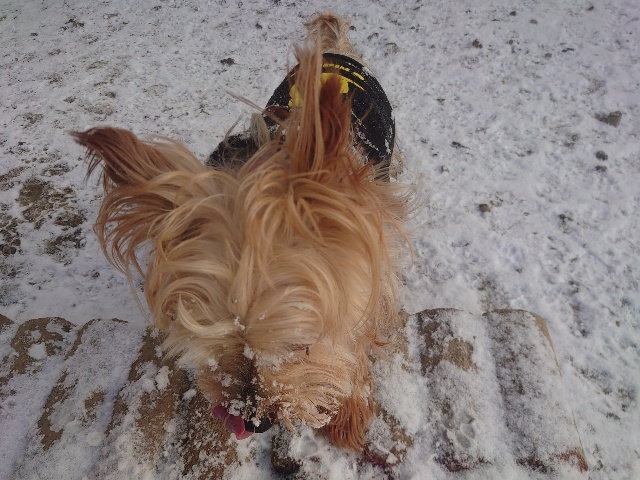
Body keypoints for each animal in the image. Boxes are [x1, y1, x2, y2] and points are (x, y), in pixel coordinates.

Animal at [74, 13, 409, 450]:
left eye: (301, 346)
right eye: (212, 341)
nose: (253, 420)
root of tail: (333, 47)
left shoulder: (368, 251)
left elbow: (362, 330)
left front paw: (350, 406)